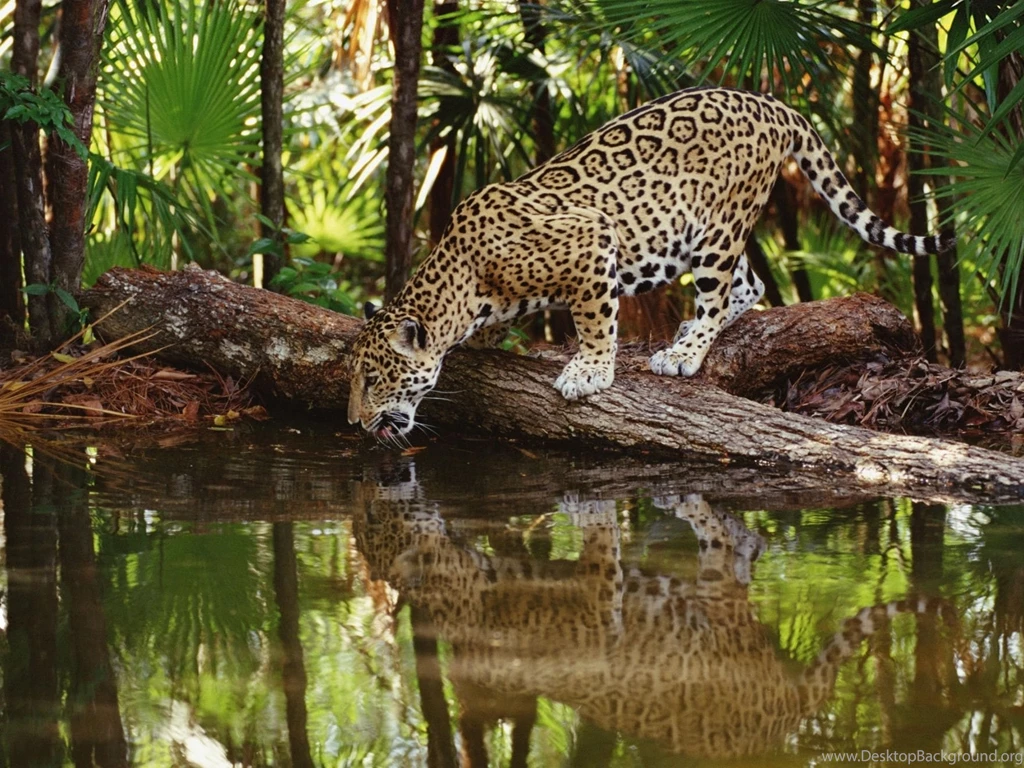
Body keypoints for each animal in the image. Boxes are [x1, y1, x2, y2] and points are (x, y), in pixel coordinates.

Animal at [347, 86, 954, 439]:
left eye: (374, 379)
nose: (354, 421)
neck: (463, 280)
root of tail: (771, 103)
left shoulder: (592, 240)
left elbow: (595, 320)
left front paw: (589, 371)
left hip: (717, 227)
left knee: (720, 290)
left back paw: (684, 352)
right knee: (752, 283)